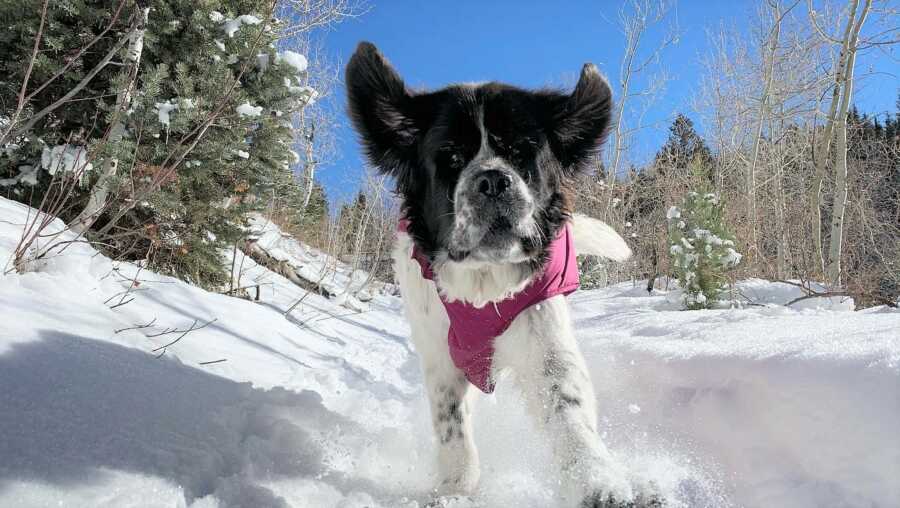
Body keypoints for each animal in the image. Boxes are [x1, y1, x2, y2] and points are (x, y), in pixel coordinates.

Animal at [344, 41, 648, 506]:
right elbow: (451, 421)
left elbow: (567, 407)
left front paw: (599, 482)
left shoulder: (543, 331)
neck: (483, 283)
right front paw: (455, 488)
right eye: (451, 157)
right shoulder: (439, 350)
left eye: (523, 153)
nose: (492, 181)